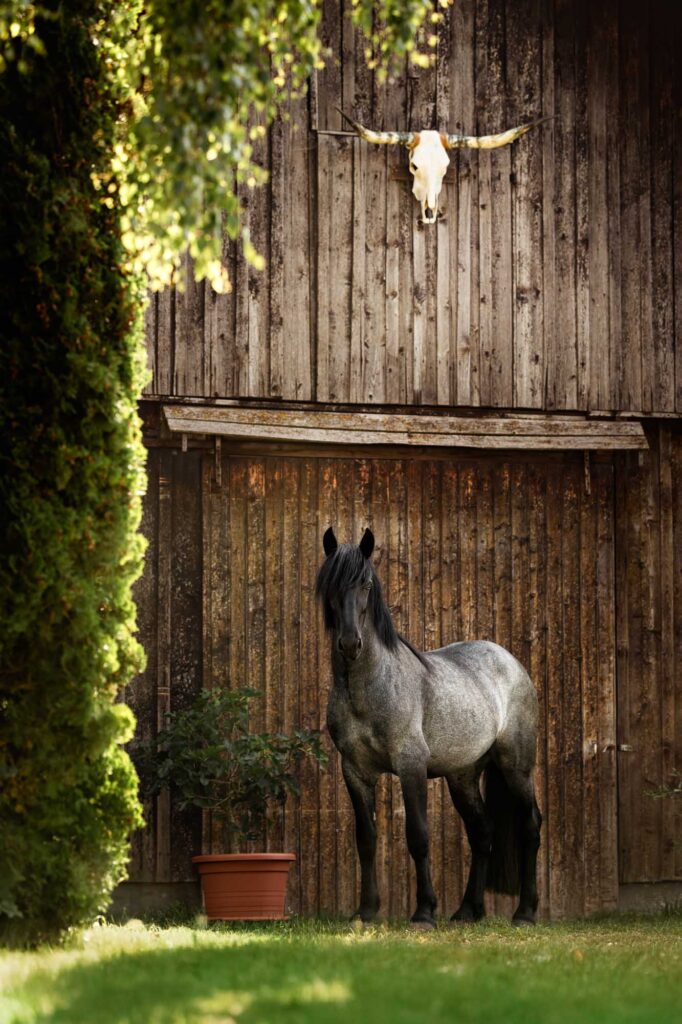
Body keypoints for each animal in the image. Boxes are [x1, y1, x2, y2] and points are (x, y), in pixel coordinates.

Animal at [316, 526, 542, 928]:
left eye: (366, 583)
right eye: (331, 584)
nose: (350, 643)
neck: (369, 687)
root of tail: (511, 662)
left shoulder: (411, 765)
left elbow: (418, 836)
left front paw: (423, 912)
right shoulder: (355, 771)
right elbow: (366, 839)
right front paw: (365, 911)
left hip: (516, 767)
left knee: (530, 827)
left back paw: (525, 913)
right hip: (463, 776)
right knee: (482, 832)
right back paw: (467, 911)